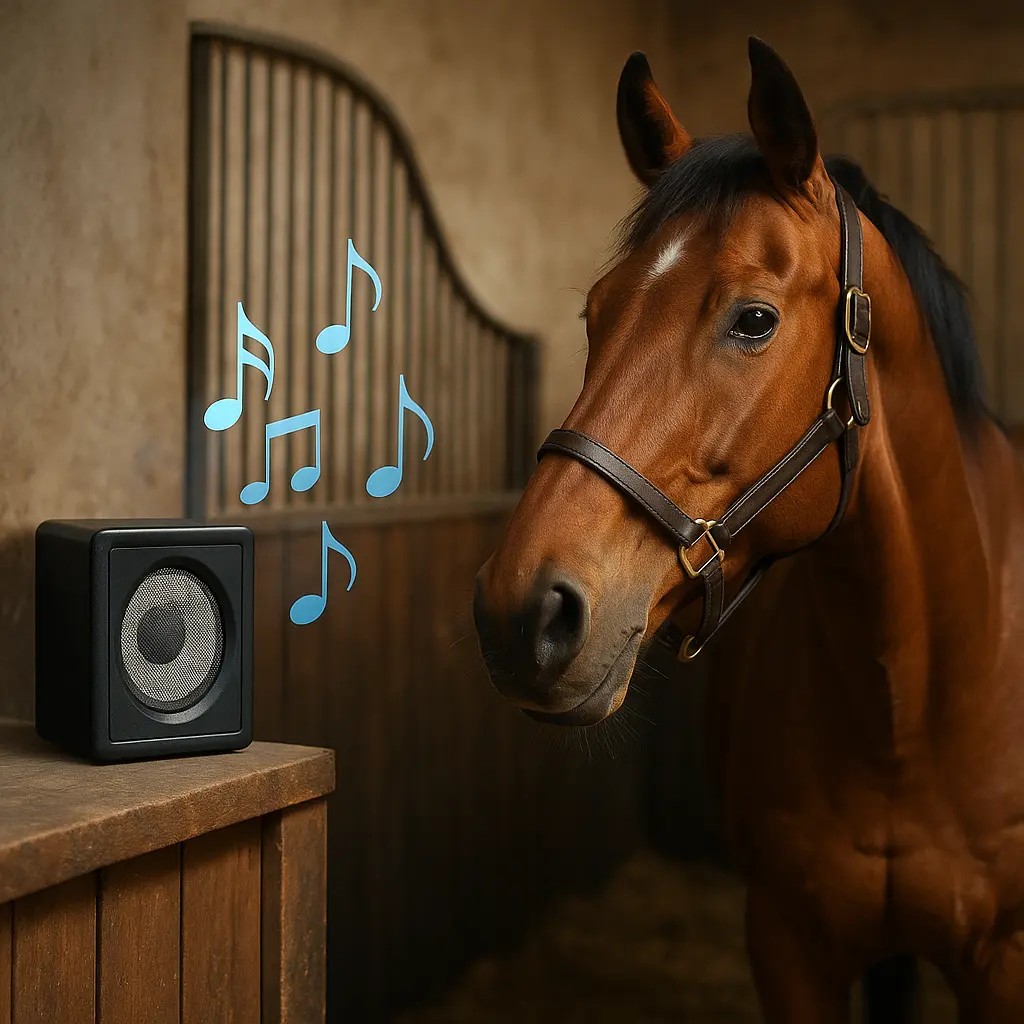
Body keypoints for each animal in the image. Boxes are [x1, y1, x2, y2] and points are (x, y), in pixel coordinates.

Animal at [473, 36, 1024, 1024]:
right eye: (594, 314)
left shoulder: (1003, 963)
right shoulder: (786, 943)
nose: (519, 612)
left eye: (754, 319)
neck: (912, 702)